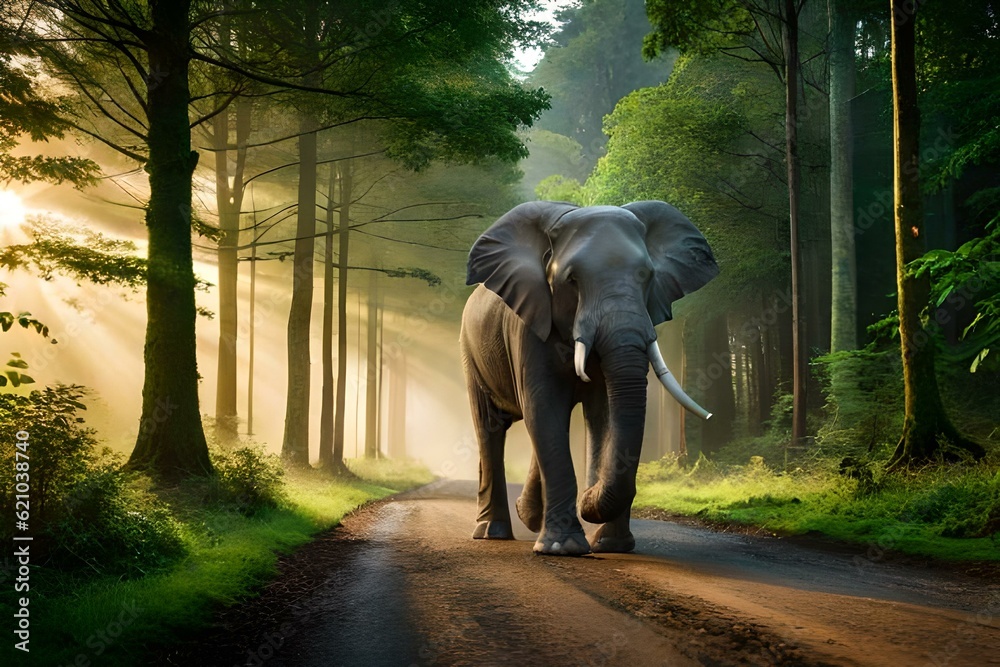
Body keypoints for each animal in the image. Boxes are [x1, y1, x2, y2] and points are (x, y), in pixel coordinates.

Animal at [460, 200, 719, 555]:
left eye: (648, 276)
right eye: (572, 280)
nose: (588, 497)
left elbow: (605, 411)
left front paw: (612, 546)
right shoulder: (528, 324)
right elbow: (544, 407)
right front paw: (564, 548)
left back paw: (528, 516)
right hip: (470, 351)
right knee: (490, 428)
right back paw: (493, 532)